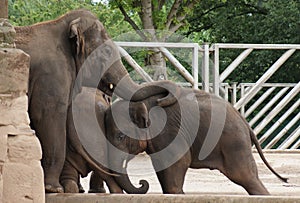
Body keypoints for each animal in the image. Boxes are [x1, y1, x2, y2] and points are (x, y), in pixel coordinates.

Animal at [14, 8, 178, 193]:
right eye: (106, 52)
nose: (162, 100)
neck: (61, 24)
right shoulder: (52, 76)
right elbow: (47, 116)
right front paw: (54, 189)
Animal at [104, 87, 288, 195]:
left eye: (120, 136)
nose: (142, 183)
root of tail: (245, 122)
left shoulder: (169, 132)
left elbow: (179, 163)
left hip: (234, 142)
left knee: (246, 177)